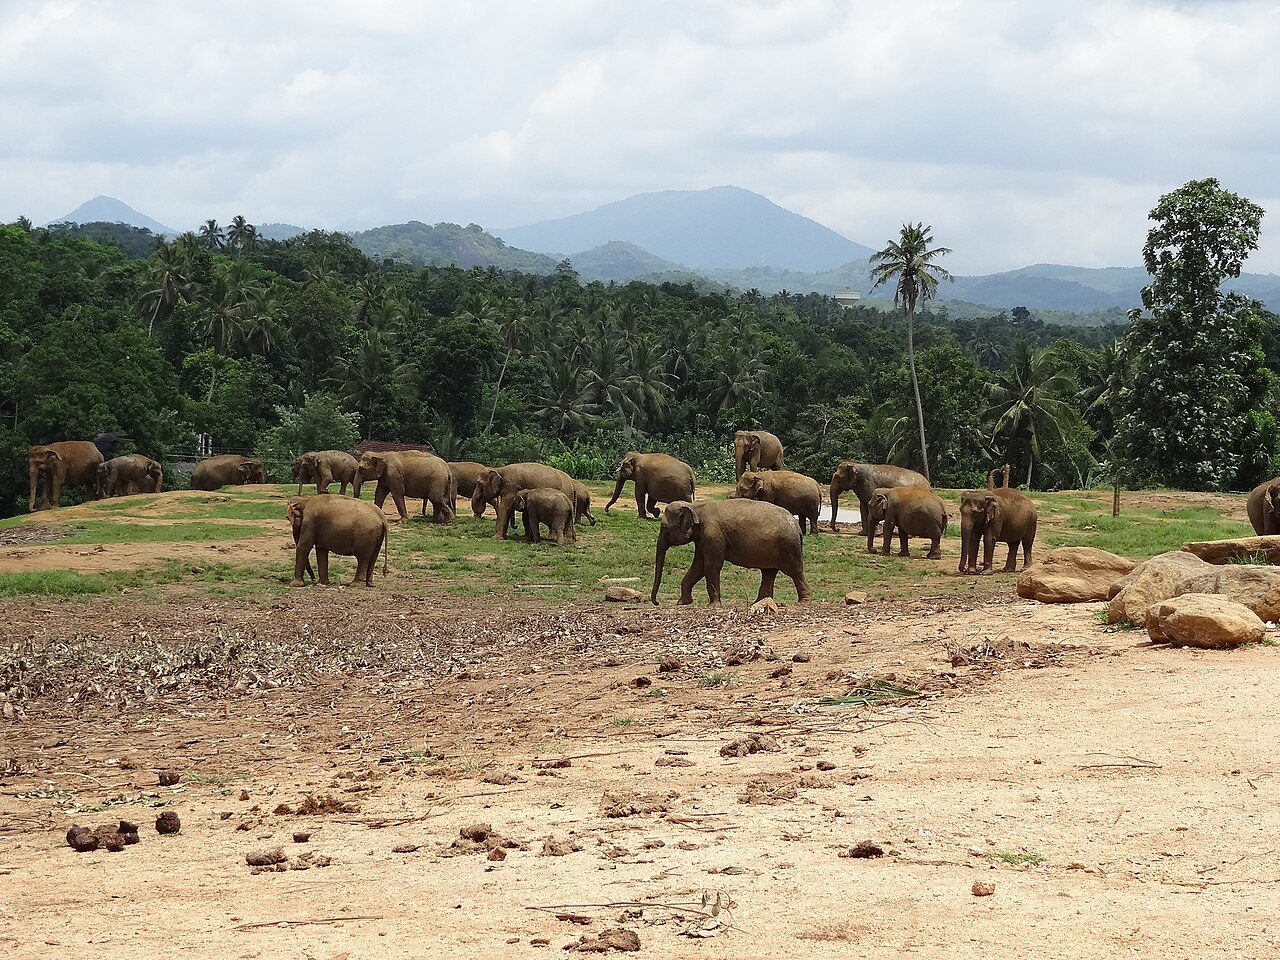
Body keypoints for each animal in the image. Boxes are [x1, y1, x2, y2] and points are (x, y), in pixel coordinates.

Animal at [650, 500, 812, 607]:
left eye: (664, 528)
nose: (657, 602)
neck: (696, 507)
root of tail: (796, 525)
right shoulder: (702, 538)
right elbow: (699, 566)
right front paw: (682, 602)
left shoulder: (712, 534)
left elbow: (711, 565)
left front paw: (713, 607)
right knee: (768, 573)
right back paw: (759, 602)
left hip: (789, 546)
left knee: (795, 571)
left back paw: (803, 601)